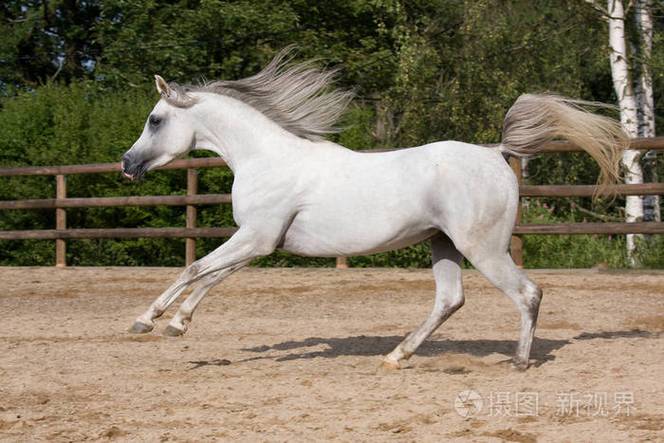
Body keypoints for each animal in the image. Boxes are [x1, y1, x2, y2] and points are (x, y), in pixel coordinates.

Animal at [122, 49, 626, 370]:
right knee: (450, 299)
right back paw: (396, 356)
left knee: (527, 293)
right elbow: (212, 276)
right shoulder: (260, 241)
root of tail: (496, 153)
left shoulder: (257, 237)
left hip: (482, 248)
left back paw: (519, 362)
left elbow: (195, 268)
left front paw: (147, 321)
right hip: (443, 244)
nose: (127, 164)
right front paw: (178, 324)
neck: (265, 157)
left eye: (155, 119)